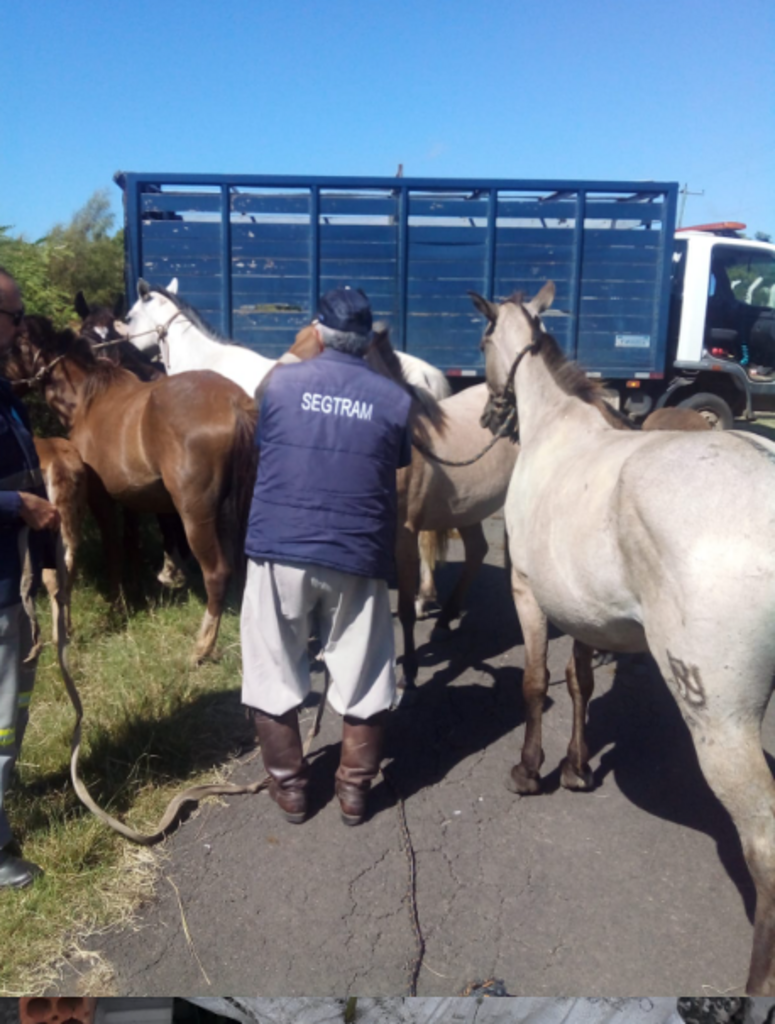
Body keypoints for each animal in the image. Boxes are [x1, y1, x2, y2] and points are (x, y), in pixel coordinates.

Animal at [6, 317, 256, 663]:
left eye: (15, 344)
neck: (88, 400)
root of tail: (235, 403)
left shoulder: (100, 498)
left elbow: (113, 546)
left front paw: (116, 603)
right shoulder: (131, 499)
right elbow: (131, 542)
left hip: (197, 515)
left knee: (217, 573)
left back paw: (201, 647)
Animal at [468, 280, 773, 991]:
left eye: (483, 340)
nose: (490, 419)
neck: (555, 430)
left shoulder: (529, 593)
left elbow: (534, 683)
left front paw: (531, 770)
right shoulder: (587, 611)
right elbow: (579, 682)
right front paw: (577, 767)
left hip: (721, 722)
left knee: (764, 845)